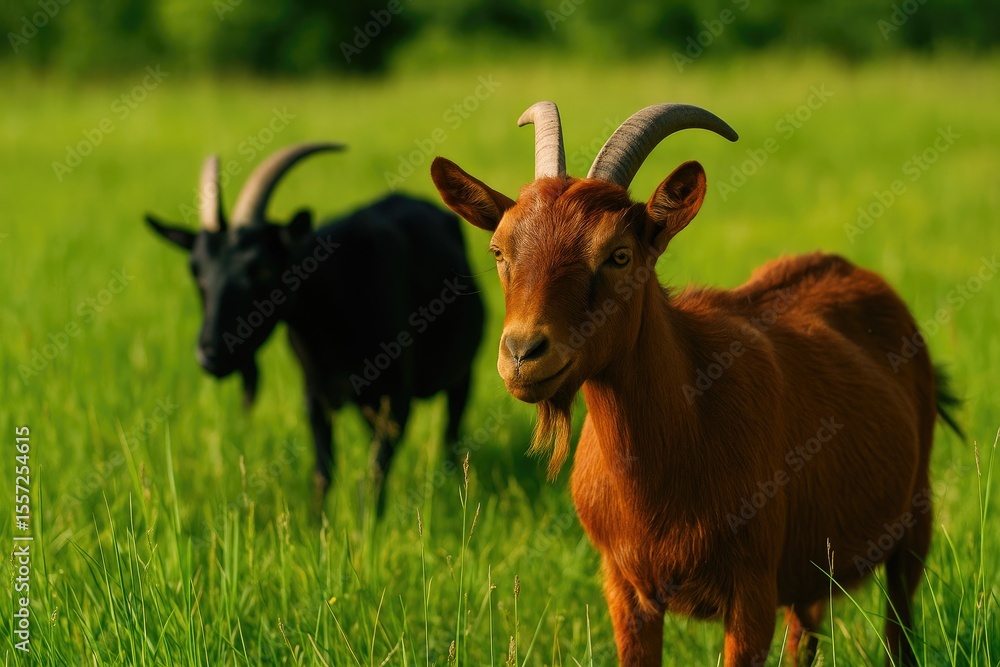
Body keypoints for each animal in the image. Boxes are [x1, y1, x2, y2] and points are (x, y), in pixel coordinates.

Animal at [146, 142, 484, 512]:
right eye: (196, 270)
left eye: (262, 268)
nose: (210, 355)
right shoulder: (315, 396)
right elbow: (323, 472)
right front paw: (316, 523)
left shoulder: (396, 397)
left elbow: (375, 474)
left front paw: (368, 525)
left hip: (462, 371)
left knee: (452, 429)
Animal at [431, 102, 959, 666]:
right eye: (499, 251)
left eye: (619, 254)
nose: (523, 354)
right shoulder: (625, 587)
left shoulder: (753, 589)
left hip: (914, 519)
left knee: (899, 625)